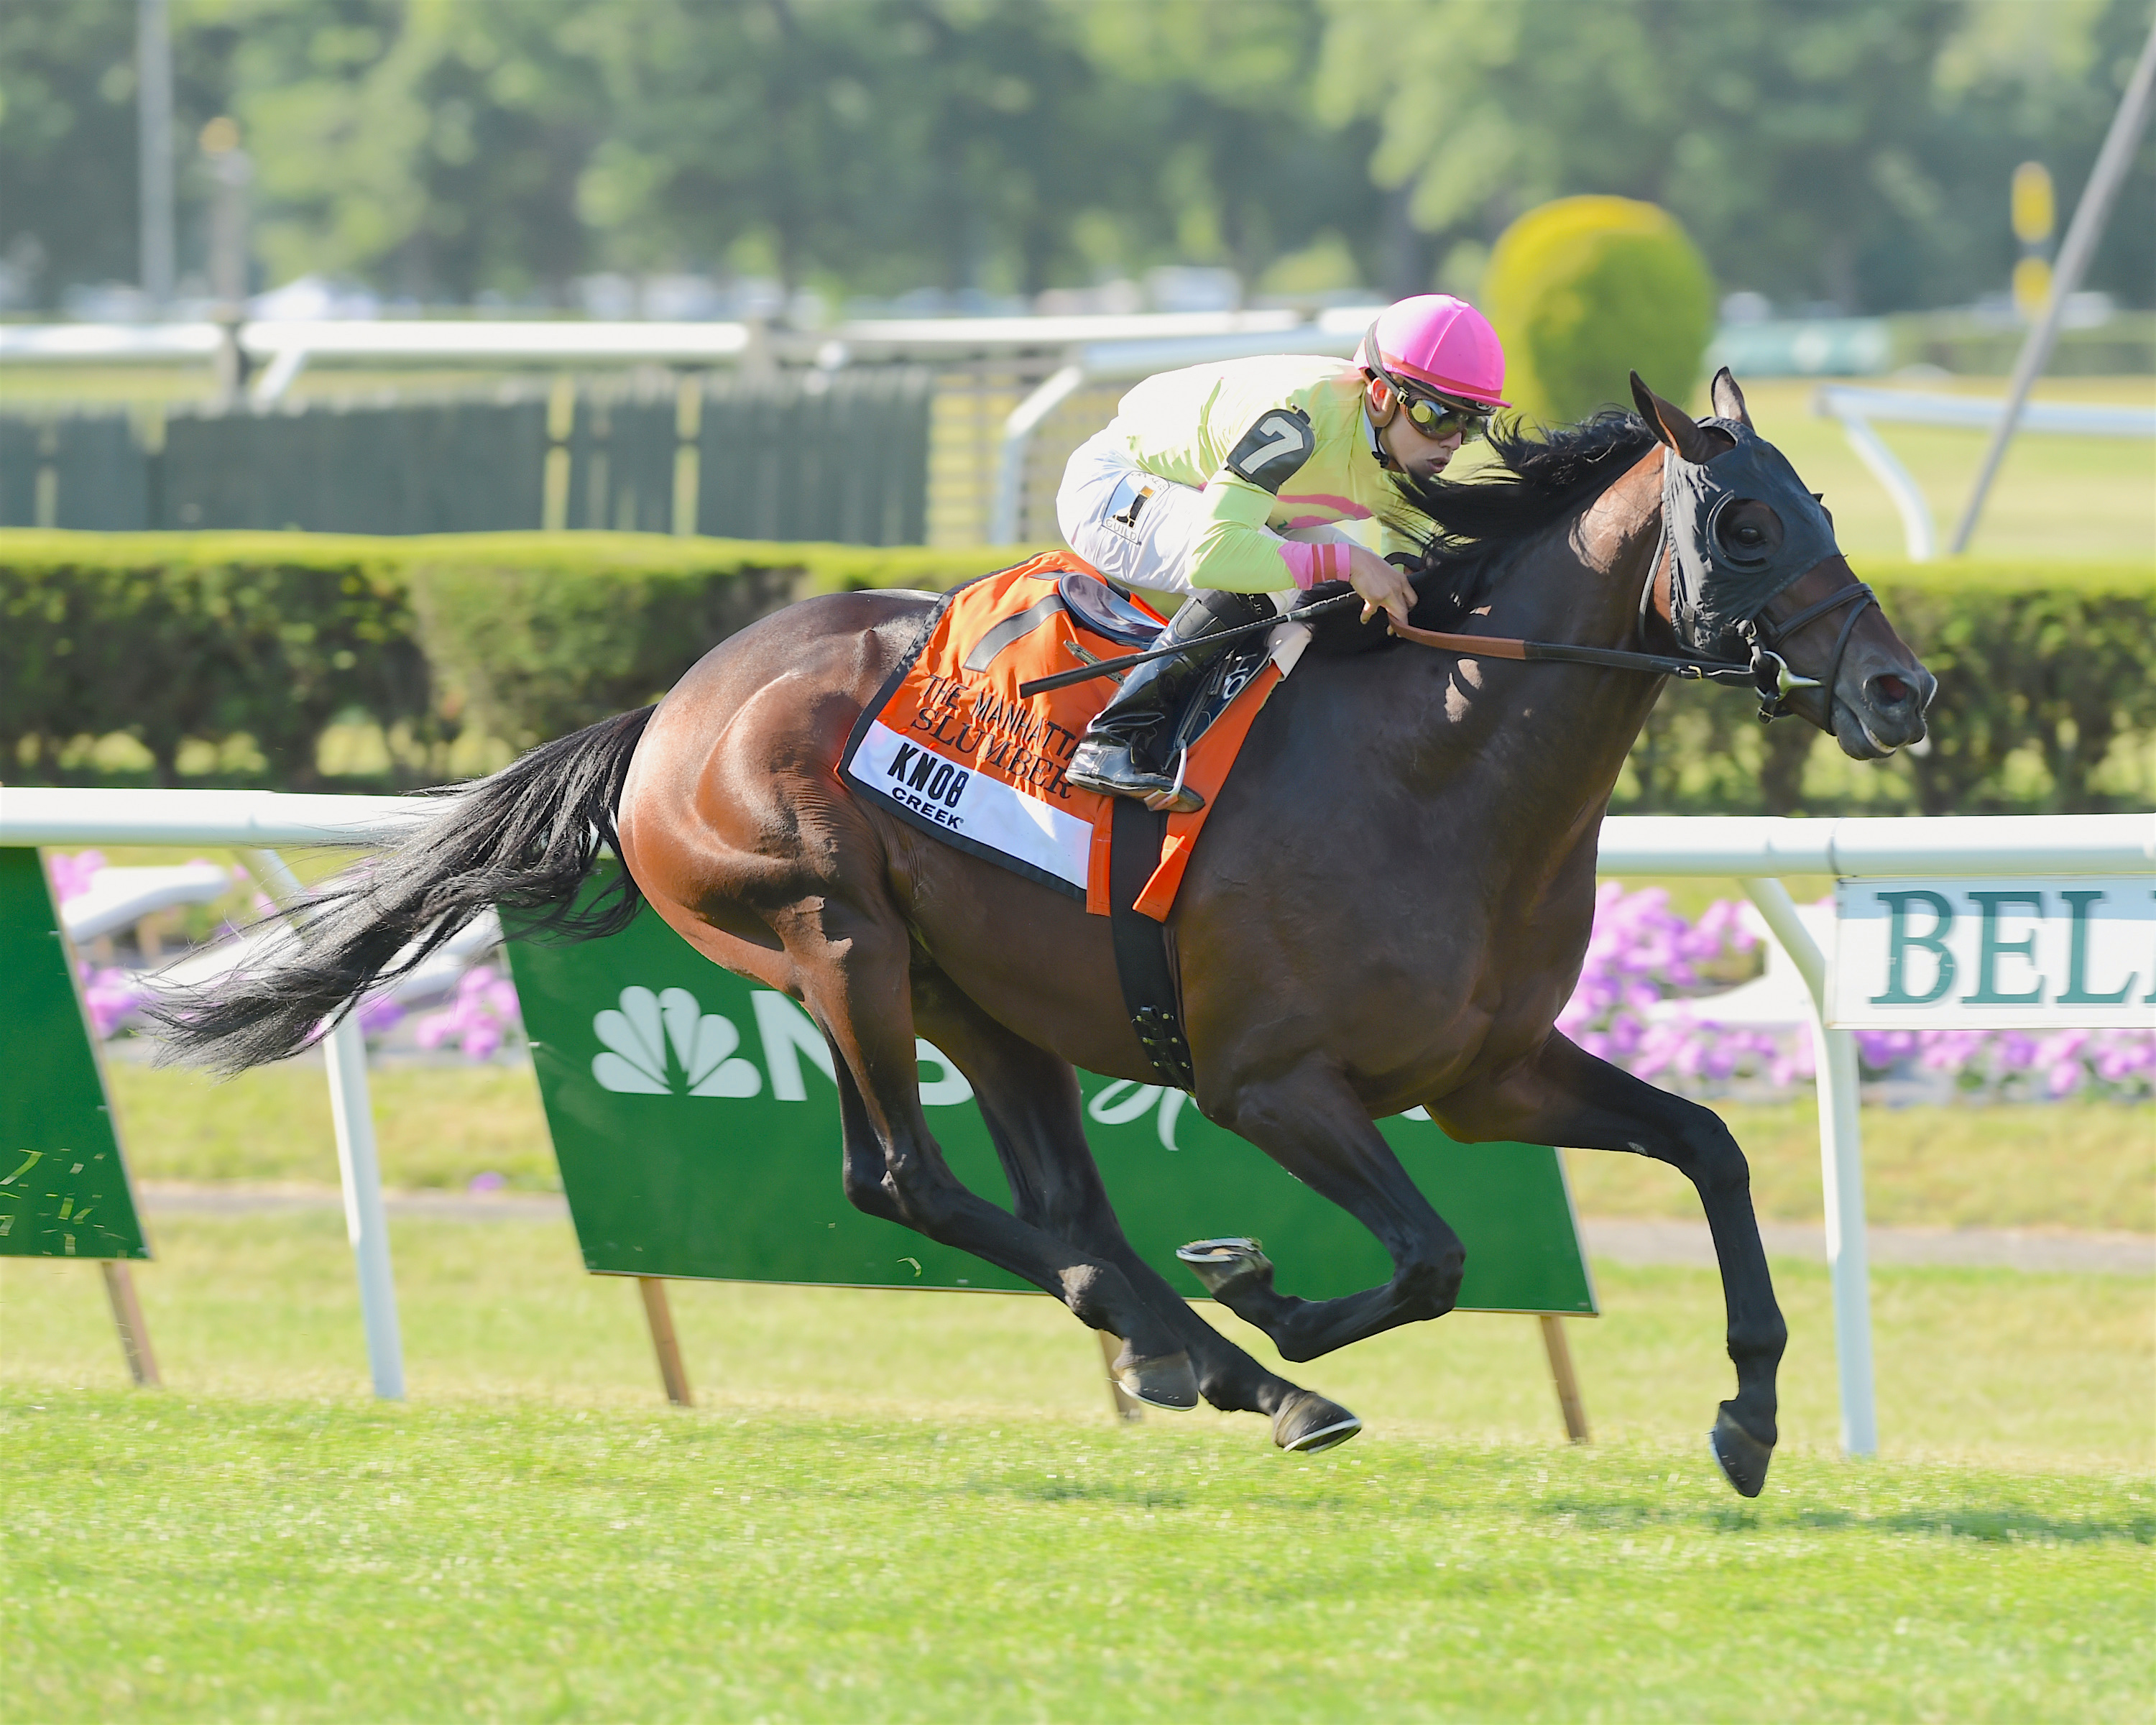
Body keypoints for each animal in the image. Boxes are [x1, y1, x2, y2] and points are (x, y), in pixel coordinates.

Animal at [156, 373, 1940, 1492]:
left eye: (1819, 500)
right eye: (1748, 526)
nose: (1902, 689)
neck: (1437, 761)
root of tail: (667, 709)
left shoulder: (1488, 1074)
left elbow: (1709, 1146)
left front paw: (1751, 1411)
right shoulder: (1273, 1086)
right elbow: (1431, 1256)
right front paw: (1270, 1293)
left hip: (983, 997)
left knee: (1061, 1209)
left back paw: (1212, 1368)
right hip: (837, 941)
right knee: (905, 1180)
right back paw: (1239, 1364)